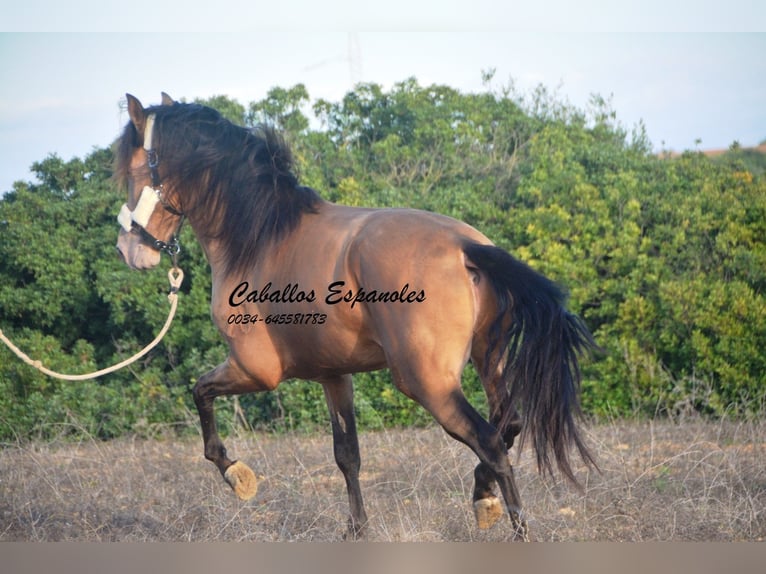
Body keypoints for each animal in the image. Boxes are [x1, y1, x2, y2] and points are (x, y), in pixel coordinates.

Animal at [114, 92, 600, 544]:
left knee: (491, 441)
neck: (261, 238)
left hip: (428, 384)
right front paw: (356, 529)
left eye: (133, 173)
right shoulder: (334, 375)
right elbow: (347, 455)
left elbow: (199, 393)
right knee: (509, 425)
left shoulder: (256, 370)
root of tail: (465, 247)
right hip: (489, 359)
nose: (128, 250)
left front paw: (238, 475)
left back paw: (511, 524)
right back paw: (484, 497)